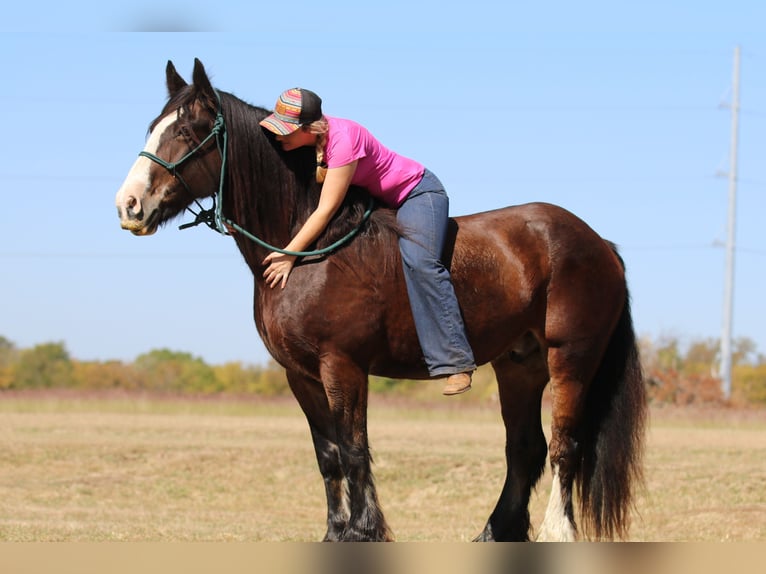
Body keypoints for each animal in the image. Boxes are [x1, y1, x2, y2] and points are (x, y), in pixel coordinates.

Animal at [114, 59, 648, 544]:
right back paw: (496, 533)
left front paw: (363, 531)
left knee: (564, 446)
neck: (310, 250)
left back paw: (558, 532)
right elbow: (328, 455)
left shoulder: (342, 366)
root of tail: (599, 244)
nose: (128, 206)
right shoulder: (301, 375)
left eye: (188, 131)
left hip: (570, 359)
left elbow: (354, 450)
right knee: (524, 449)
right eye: (153, 128)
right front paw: (336, 533)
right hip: (519, 365)